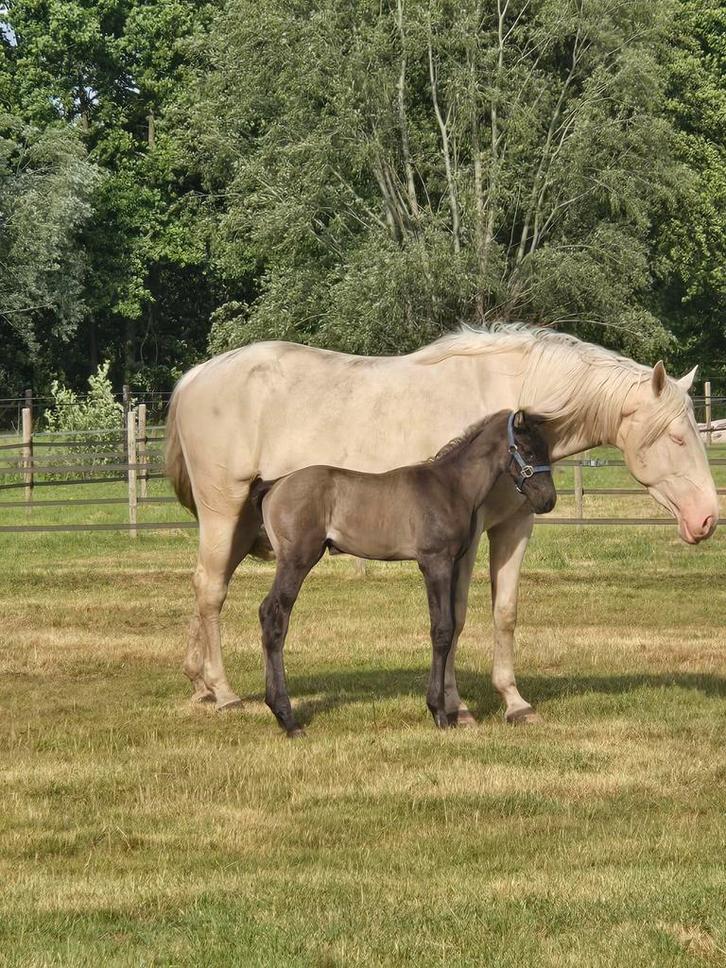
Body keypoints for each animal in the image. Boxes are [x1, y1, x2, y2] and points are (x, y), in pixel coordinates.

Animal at [252, 410, 556, 736]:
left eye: (546, 449)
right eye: (527, 450)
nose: (548, 500)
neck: (451, 487)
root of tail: (275, 485)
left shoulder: (453, 563)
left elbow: (453, 624)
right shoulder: (435, 562)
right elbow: (442, 630)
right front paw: (439, 713)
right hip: (296, 560)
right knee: (274, 616)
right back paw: (288, 718)